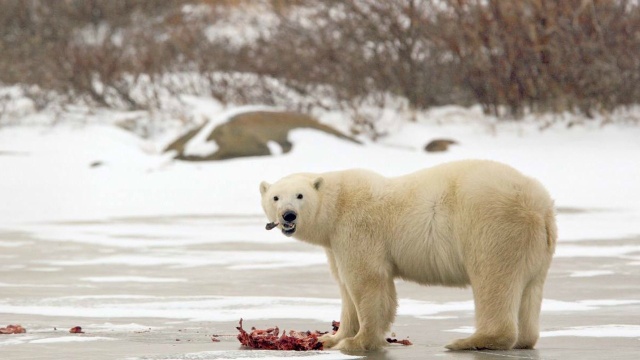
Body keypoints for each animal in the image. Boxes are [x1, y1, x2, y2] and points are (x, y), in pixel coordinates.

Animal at [260, 161, 556, 352]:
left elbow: (368, 281)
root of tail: (540, 205)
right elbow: (344, 286)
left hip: (494, 225)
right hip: (537, 247)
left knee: (493, 278)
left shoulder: (358, 228)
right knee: (530, 288)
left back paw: (468, 341)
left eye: (300, 195)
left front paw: (358, 342)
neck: (337, 205)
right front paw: (331, 338)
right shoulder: (334, 244)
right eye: (275, 197)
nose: (288, 215)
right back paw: (523, 339)